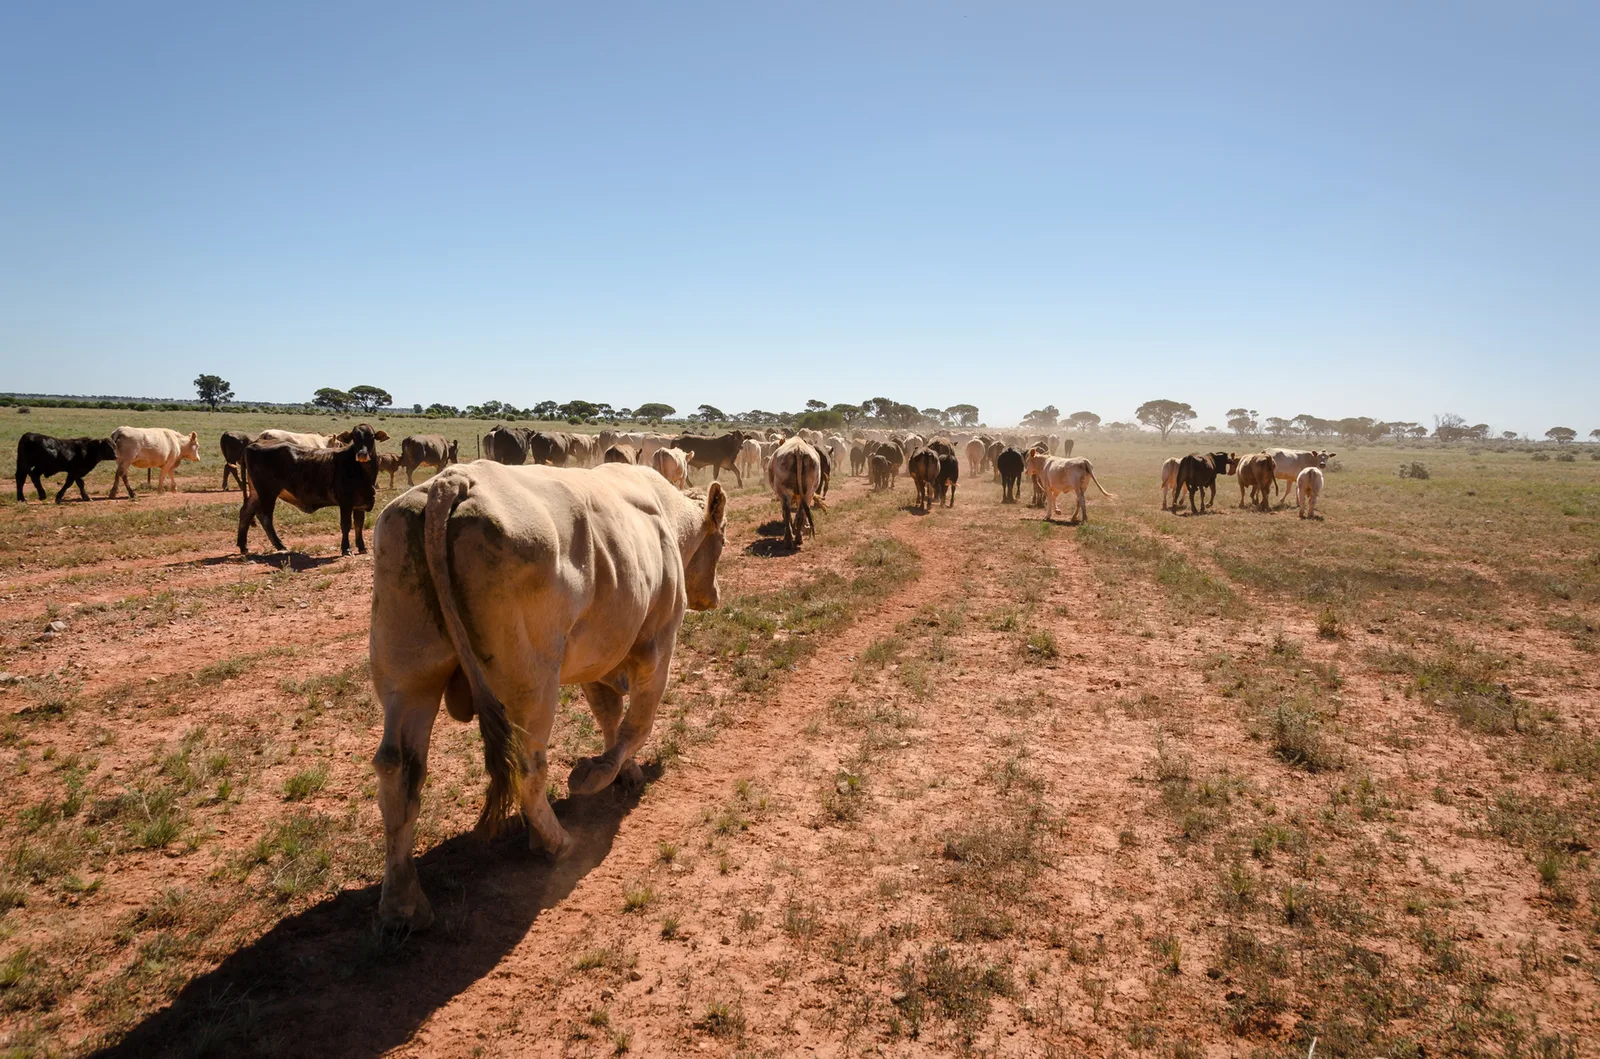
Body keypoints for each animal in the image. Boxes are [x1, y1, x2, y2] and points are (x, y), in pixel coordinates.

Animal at [238, 424, 390, 555]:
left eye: (371, 437)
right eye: (354, 437)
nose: (362, 454)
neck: (363, 472)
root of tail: (254, 443)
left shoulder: (360, 503)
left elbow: (359, 525)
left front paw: (362, 547)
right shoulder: (345, 502)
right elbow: (346, 525)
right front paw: (346, 549)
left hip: (256, 493)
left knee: (246, 512)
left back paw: (243, 546)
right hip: (267, 492)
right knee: (265, 517)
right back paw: (280, 545)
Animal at [368, 463, 728, 928]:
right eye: (723, 540)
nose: (715, 596)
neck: (664, 516)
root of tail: (454, 480)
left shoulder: (600, 655)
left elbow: (609, 715)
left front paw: (625, 770)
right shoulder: (657, 646)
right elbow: (636, 725)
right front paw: (598, 774)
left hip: (409, 677)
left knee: (399, 772)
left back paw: (403, 903)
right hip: (534, 684)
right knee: (528, 766)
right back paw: (555, 841)